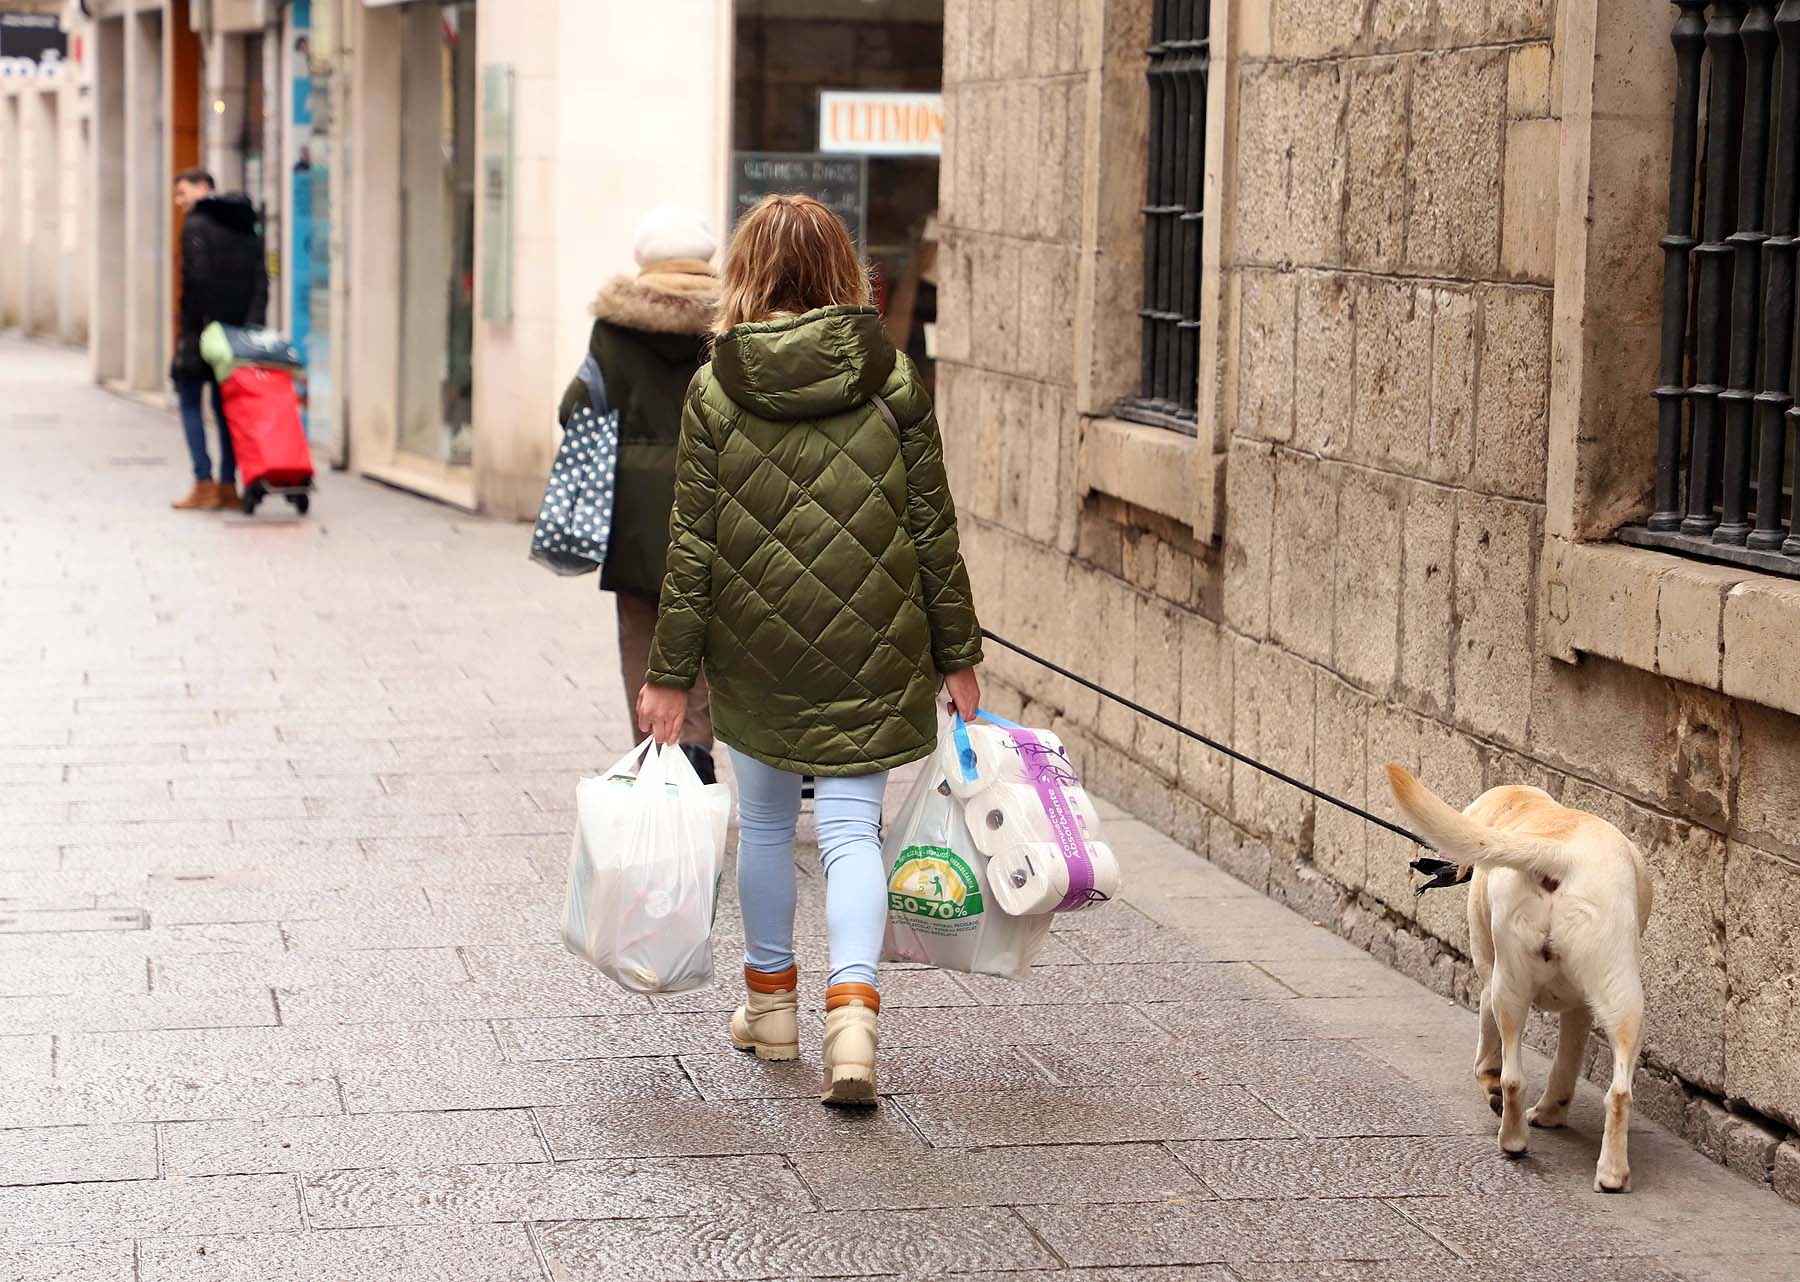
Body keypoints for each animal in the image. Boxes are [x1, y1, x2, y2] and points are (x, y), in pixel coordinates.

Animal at [1382, 759, 1648, 1188]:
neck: (1531, 810)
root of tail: (1557, 852)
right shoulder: (1578, 1009)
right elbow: (1565, 1064)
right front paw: (1552, 1113)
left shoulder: (1488, 977)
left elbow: (1487, 1056)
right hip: (1620, 1000)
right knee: (1617, 1091)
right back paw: (1609, 1173)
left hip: (1509, 987)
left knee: (1510, 1075)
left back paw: (1513, 1138)